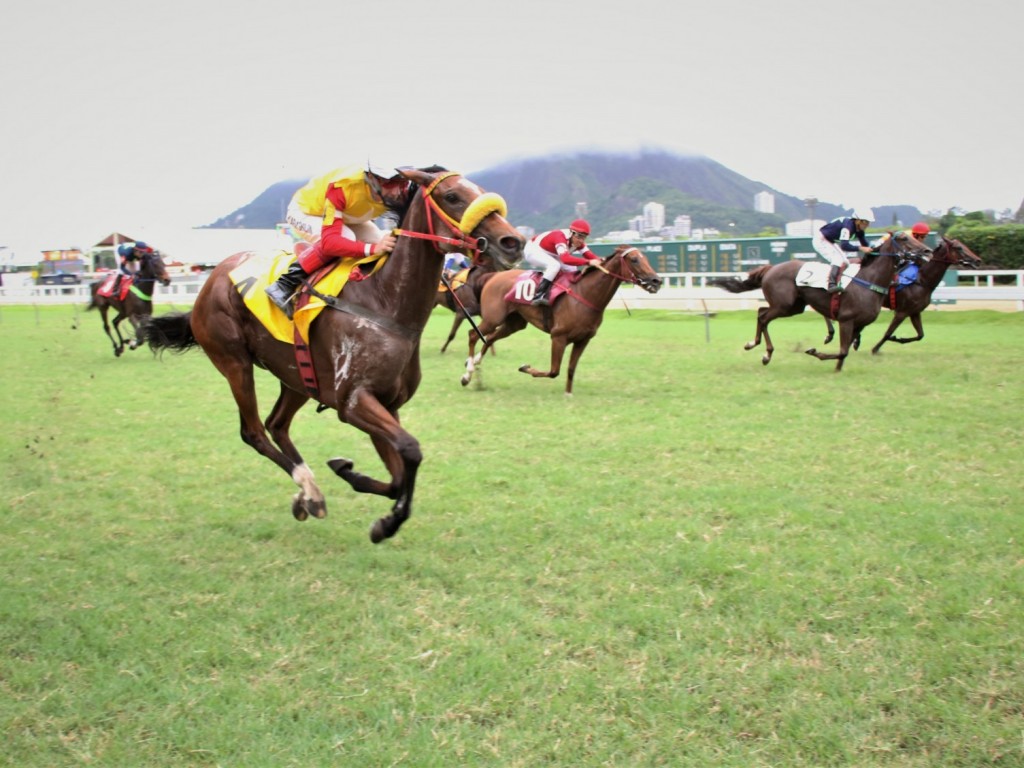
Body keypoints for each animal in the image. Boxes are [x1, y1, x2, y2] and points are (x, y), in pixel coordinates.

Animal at [144, 167, 524, 540]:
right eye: (452, 196)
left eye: (480, 190)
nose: (513, 242)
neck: (386, 303)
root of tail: (213, 279)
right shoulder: (353, 402)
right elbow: (411, 450)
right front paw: (387, 522)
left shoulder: (387, 404)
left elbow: (398, 471)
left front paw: (355, 480)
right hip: (234, 362)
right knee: (254, 432)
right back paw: (308, 487)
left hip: (296, 376)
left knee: (277, 425)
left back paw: (307, 494)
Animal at [458, 246, 663, 397]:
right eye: (634, 259)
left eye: (644, 258)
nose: (657, 281)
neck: (585, 293)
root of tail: (492, 276)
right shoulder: (558, 337)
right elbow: (553, 370)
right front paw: (525, 367)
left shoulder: (583, 340)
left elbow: (571, 368)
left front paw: (568, 393)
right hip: (493, 318)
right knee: (473, 334)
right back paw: (467, 373)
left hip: (514, 323)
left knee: (490, 337)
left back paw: (474, 362)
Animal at [708, 231, 933, 370]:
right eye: (903, 238)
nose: (927, 251)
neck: (868, 280)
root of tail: (771, 268)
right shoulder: (846, 319)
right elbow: (842, 351)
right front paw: (815, 352)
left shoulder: (859, 323)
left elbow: (844, 352)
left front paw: (836, 367)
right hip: (784, 305)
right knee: (763, 318)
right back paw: (764, 352)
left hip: (793, 307)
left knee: (761, 311)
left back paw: (755, 345)